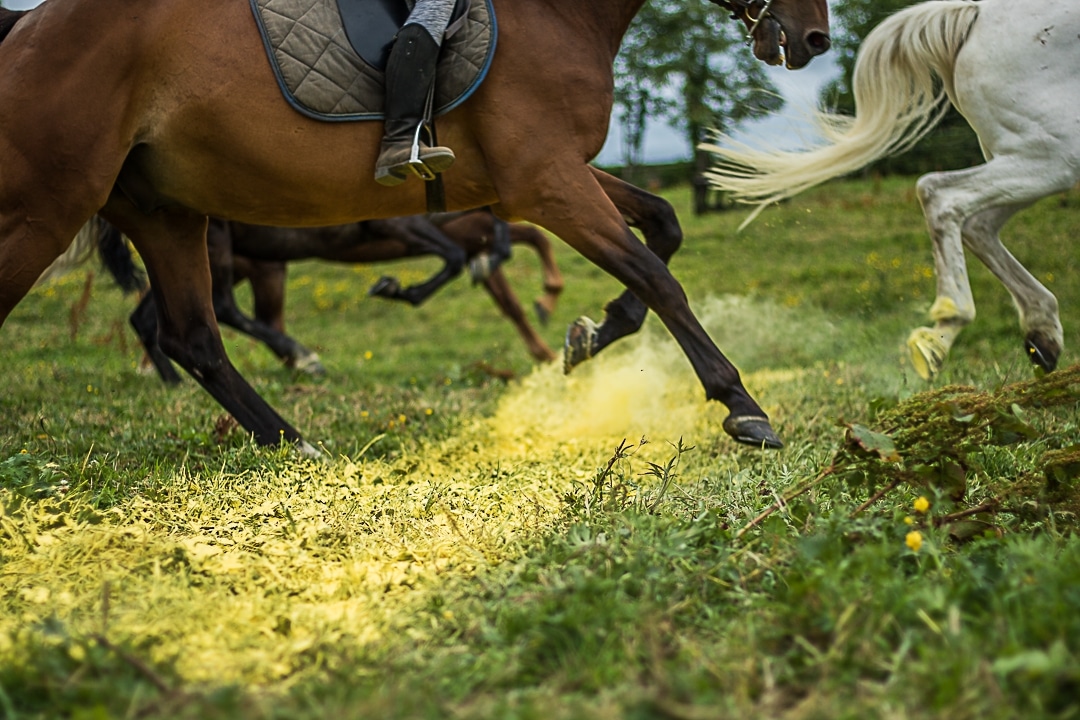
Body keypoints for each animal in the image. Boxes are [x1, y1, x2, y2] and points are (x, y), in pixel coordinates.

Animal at [0, 0, 829, 451]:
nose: (815, 38)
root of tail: (26, 26)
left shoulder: (542, 177)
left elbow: (662, 227)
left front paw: (589, 335)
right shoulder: (545, 183)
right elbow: (656, 272)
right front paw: (742, 406)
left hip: (164, 211)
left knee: (193, 335)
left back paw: (293, 441)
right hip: (43, 208)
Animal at [704, 0, 1075, 379]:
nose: (815, 38)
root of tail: (975, 14)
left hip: (1031, 162)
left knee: (975, 224)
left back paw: (1040, 336)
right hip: (1050, 156)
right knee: (943, 198)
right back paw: (942, 334)